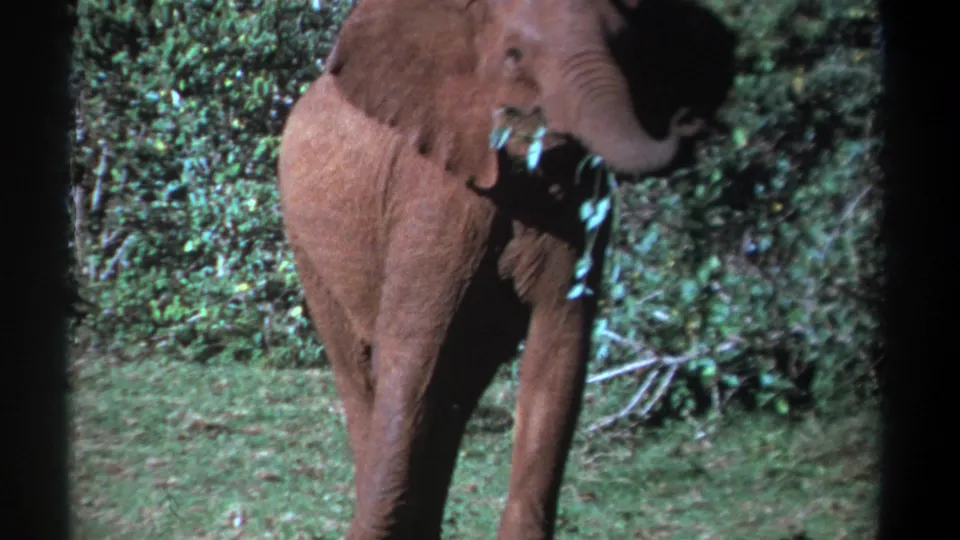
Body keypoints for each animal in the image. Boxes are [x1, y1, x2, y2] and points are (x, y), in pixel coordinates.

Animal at [276, 0, 735, 537]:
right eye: (514, 56)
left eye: (628, 50)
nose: (688, 122)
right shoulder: (433, 188)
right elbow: (414, 351)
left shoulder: (579, 211)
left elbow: (558, 352)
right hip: (306, 240)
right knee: (362, 367)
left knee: (458, 387)